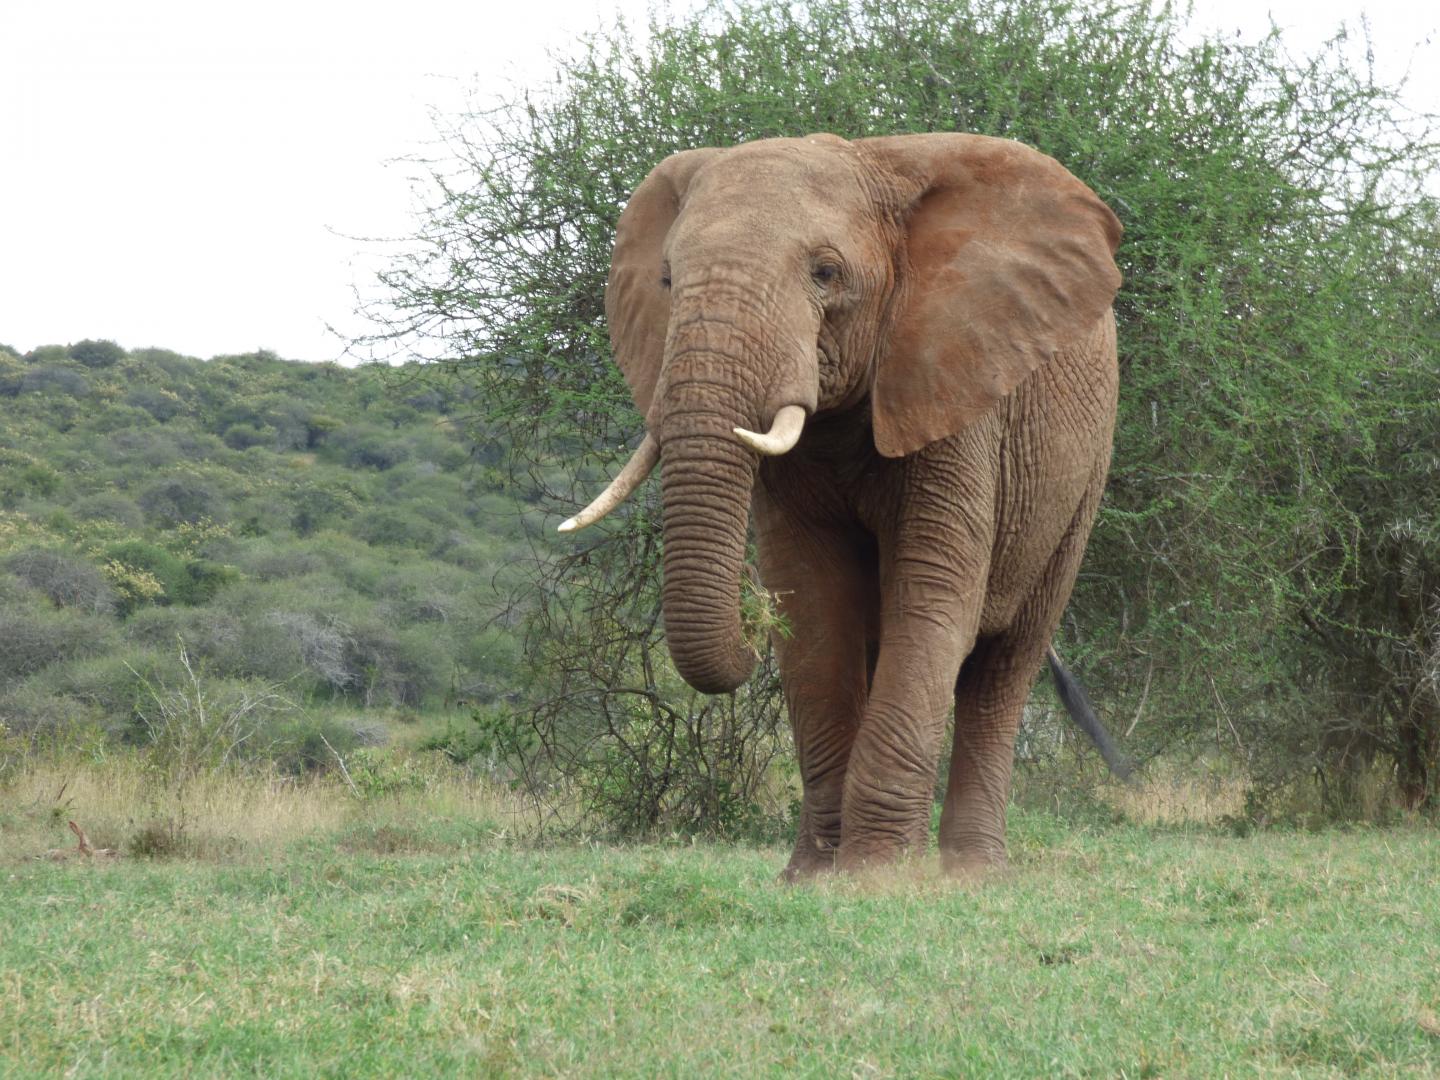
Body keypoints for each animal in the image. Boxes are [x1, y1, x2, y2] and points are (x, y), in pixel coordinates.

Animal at [560, 132, 1125, 877]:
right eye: (667, 281)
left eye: (825, 274)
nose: (749, 620)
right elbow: (816, 608)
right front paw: (813, 876)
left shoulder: (953, 380)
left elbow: (932, 596)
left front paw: (878, 876)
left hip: (1082, 477)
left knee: (1005, 663)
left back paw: (972, 873)